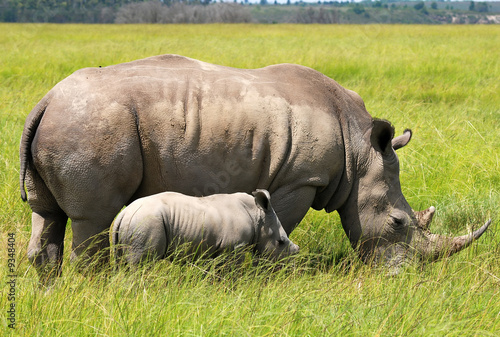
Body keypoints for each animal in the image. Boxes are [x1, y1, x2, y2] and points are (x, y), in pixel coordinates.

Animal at [112, 189, 298, 262]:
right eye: (281, 242)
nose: (292, 257)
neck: (257, 215)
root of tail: (122, 214)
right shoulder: (235, 245)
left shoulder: (213, 246)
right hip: (145, 223)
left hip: (134, 223)